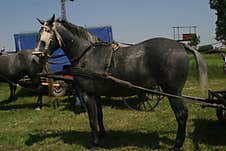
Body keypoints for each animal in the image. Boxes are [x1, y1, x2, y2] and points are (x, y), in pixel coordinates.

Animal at [35, 15, 207, 150]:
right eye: (38, 36)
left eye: (46, 35)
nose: (36, 57)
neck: (88, 55)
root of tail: (180, 45)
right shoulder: (96, 95)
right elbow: (99, 116)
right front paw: (102, 136)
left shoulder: (88, 96)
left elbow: (92, 120)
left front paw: (94, 143)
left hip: (172, 92)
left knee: (181, 115)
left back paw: (177, 145)